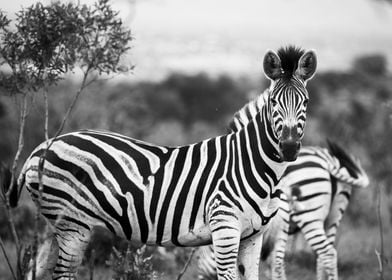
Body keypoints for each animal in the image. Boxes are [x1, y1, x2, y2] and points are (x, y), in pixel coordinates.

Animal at [2, 44, 318, 278]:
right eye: (274, 103)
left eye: (305, 102)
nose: (289, 148)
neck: (253, 165)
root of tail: (40, 149)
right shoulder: (225, 227)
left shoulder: (253, 235)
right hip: (72, 225)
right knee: (63, 273)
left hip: (54, 225)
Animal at [194, 142, 370, 280]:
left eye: (198, 257)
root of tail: (326, 158)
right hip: (333, 217)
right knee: (322, 257)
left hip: (310, 215)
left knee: (327, 254)